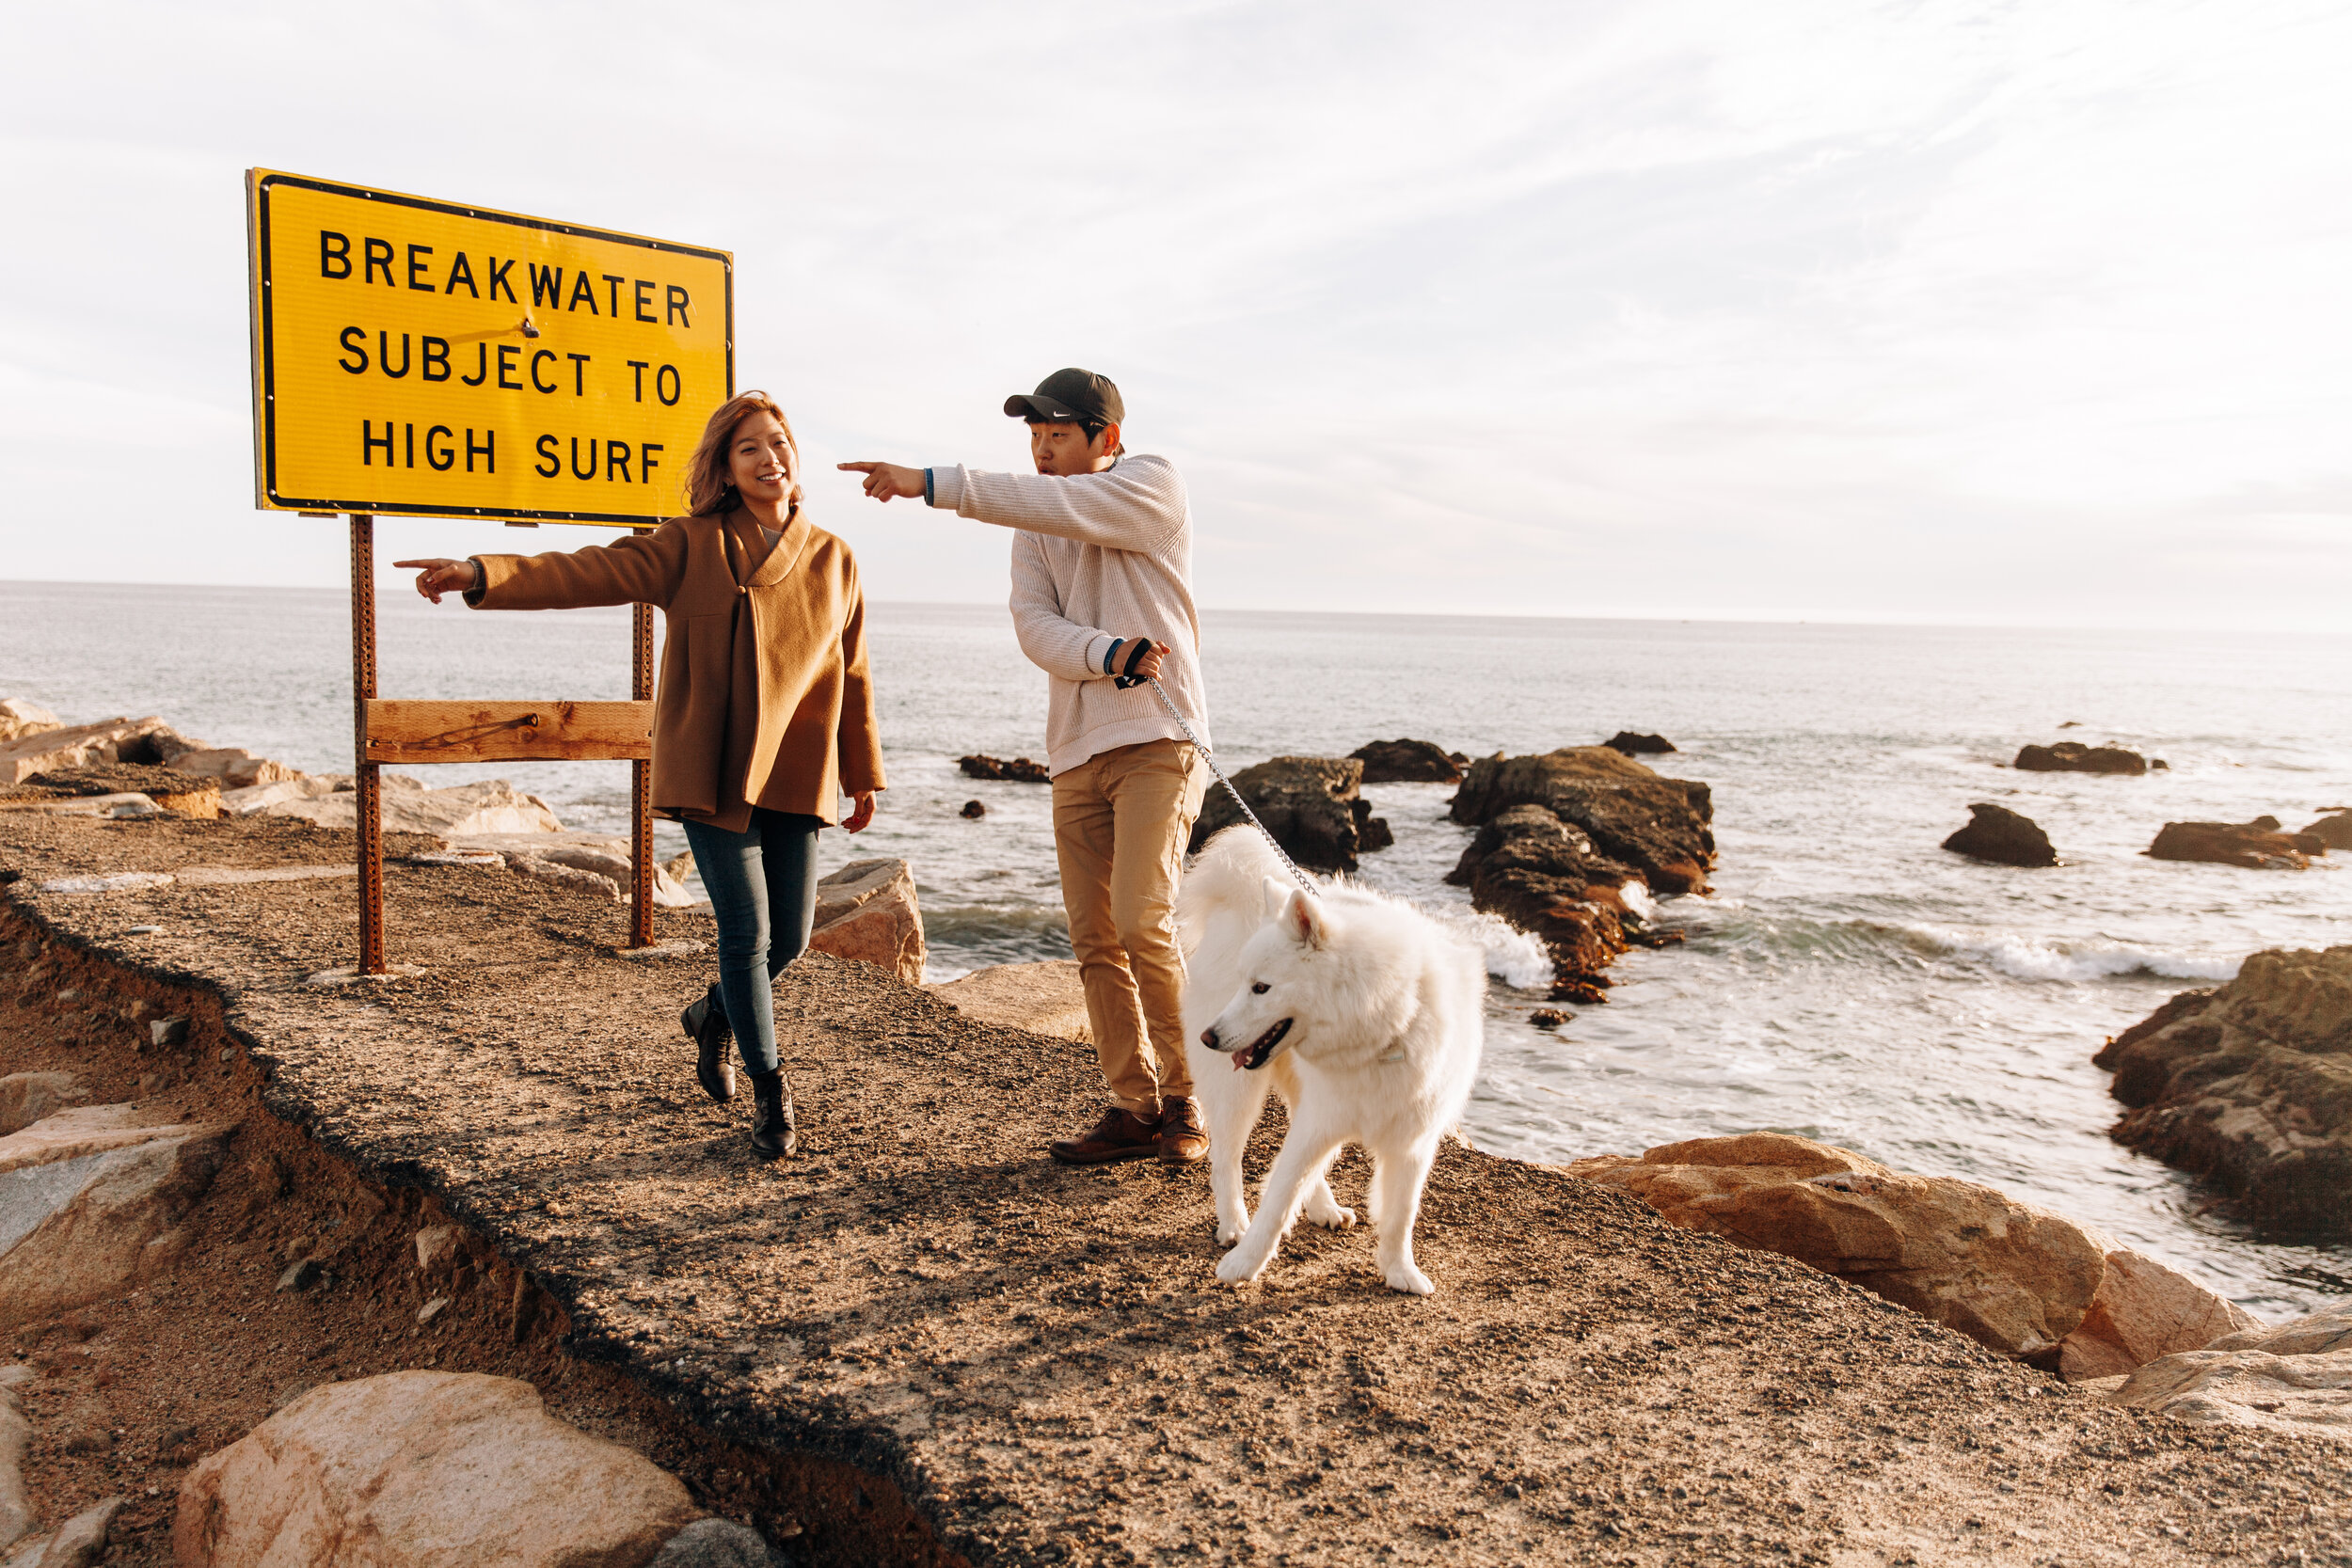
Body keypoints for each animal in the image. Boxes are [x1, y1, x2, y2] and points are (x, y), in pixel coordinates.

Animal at [1176, 827, 1486, 1297]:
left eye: (1261, 988)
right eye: (1246, 984)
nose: (1208, 1037)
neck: (1384, 1027)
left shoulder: (1411, 1139)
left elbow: (1400, 1214)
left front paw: (1400, 1271)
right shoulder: (1322, 1119)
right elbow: (1278, 1197)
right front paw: (1244, 1263)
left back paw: (1324, 1208)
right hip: (1237, 1091)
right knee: (1227, 1158)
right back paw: (1233, 1224)